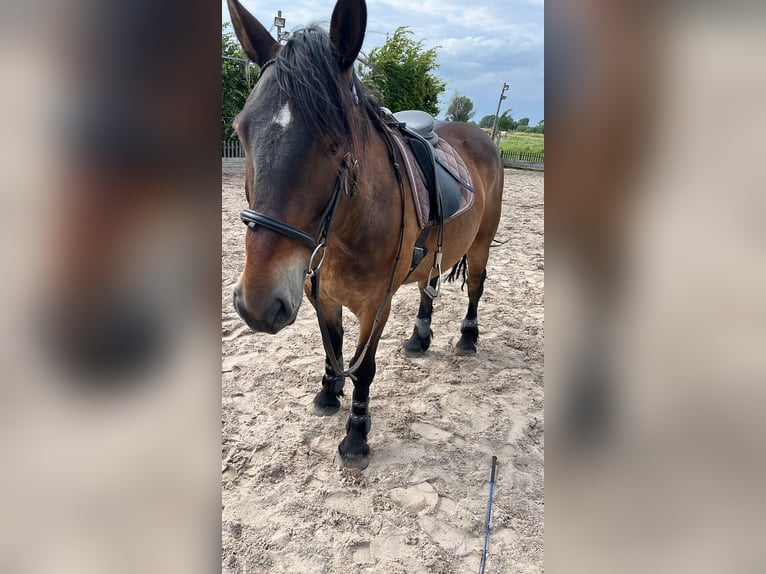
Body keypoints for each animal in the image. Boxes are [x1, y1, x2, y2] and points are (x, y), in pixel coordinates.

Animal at [225, 0, 508, 470]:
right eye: (241, 131)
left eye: (336, 143)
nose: (257, 305)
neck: (344, 232)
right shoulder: (320, 292)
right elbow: (333, 348)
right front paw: (328, 392)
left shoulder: (376, 306)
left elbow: (363, 368)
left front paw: (356, 435)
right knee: (429, 287)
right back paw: (419, 338)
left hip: (482, 243)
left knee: (475, 288)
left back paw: (467, 338)